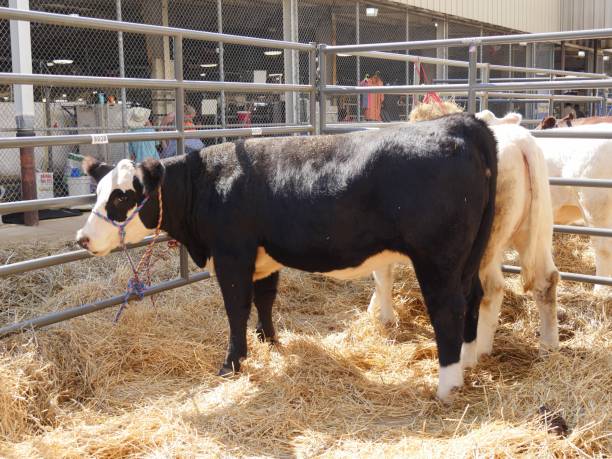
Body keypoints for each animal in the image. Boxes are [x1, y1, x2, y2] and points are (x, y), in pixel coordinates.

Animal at [368, 115, 560, 370]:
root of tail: (520, 142)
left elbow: (383, 278)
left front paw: (384, 318)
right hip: (539, 230)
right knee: (546, 281)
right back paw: (549, 348)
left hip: (484, 247)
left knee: (490, 289)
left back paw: (477, 351)